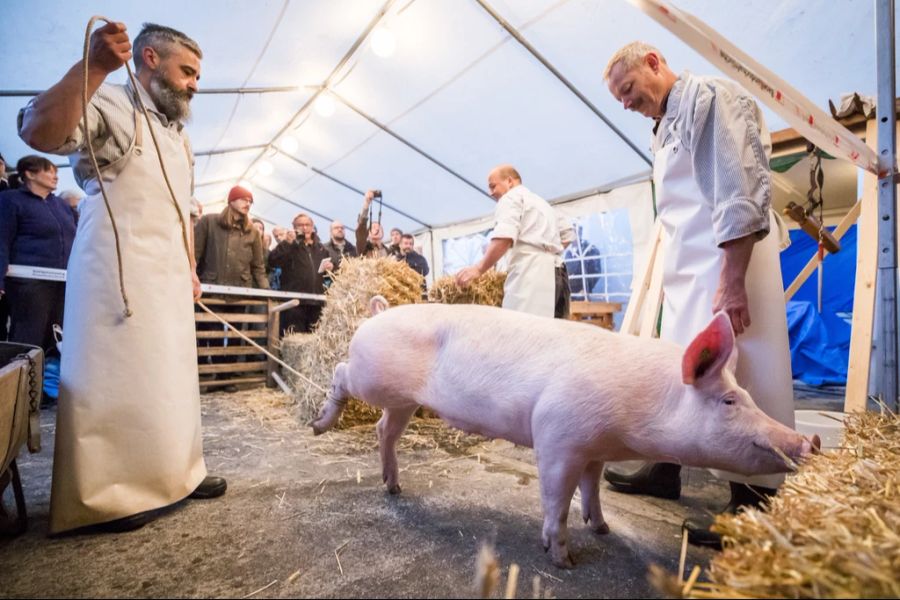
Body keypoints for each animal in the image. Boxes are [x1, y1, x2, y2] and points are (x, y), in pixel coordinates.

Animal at [312, 300, 820, 568]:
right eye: (729, 401)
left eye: (747, 396)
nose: (809, 443)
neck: (636, 413)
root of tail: (377, 311)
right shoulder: (559, 436)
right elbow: (557, 497)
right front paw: (563, 559)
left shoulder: (596, 449)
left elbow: (591, 488)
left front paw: (602, 527)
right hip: (371, 377)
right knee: (340, 373)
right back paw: (318, 425)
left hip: (402, 400)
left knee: (384, 429)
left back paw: (394, 488)